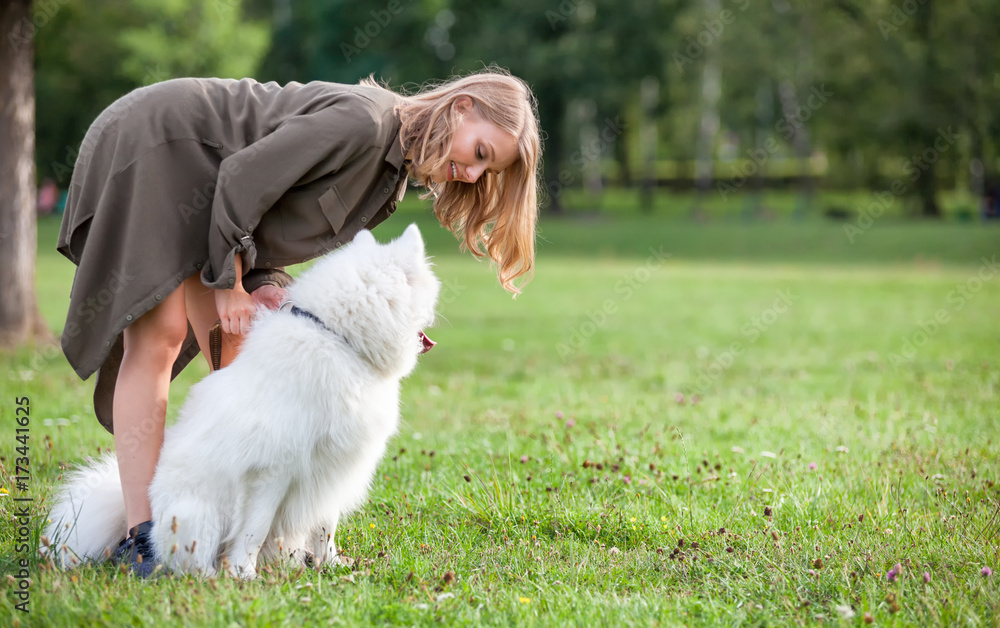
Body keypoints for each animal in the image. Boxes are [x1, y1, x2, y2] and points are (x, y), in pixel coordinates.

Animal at [45, 223, 440, 576]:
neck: (336, 338)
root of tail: (149, 520)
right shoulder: (272, 471)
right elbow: (254, 530)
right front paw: (242, 575)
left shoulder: (331, 467)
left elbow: (325, 526)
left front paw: (330, 565)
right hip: (200, 513)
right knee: (191, 560)